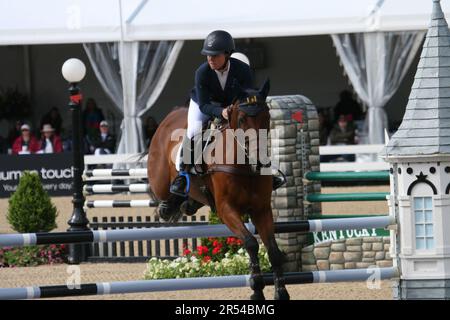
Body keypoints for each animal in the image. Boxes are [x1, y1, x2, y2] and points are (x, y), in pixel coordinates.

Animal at [146, 80, 290, 300]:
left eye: (267, 117)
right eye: (242, 119)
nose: (259, 162)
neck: (244, 165)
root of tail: (170, 116)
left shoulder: (262, 210)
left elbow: (273, 250)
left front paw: (281, 292)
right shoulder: (226, 209)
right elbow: (251, 243)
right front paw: (257, 289)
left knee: (190, 198)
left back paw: (187, 204)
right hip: (160, 179)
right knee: (164, 195)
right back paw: (169, 205)